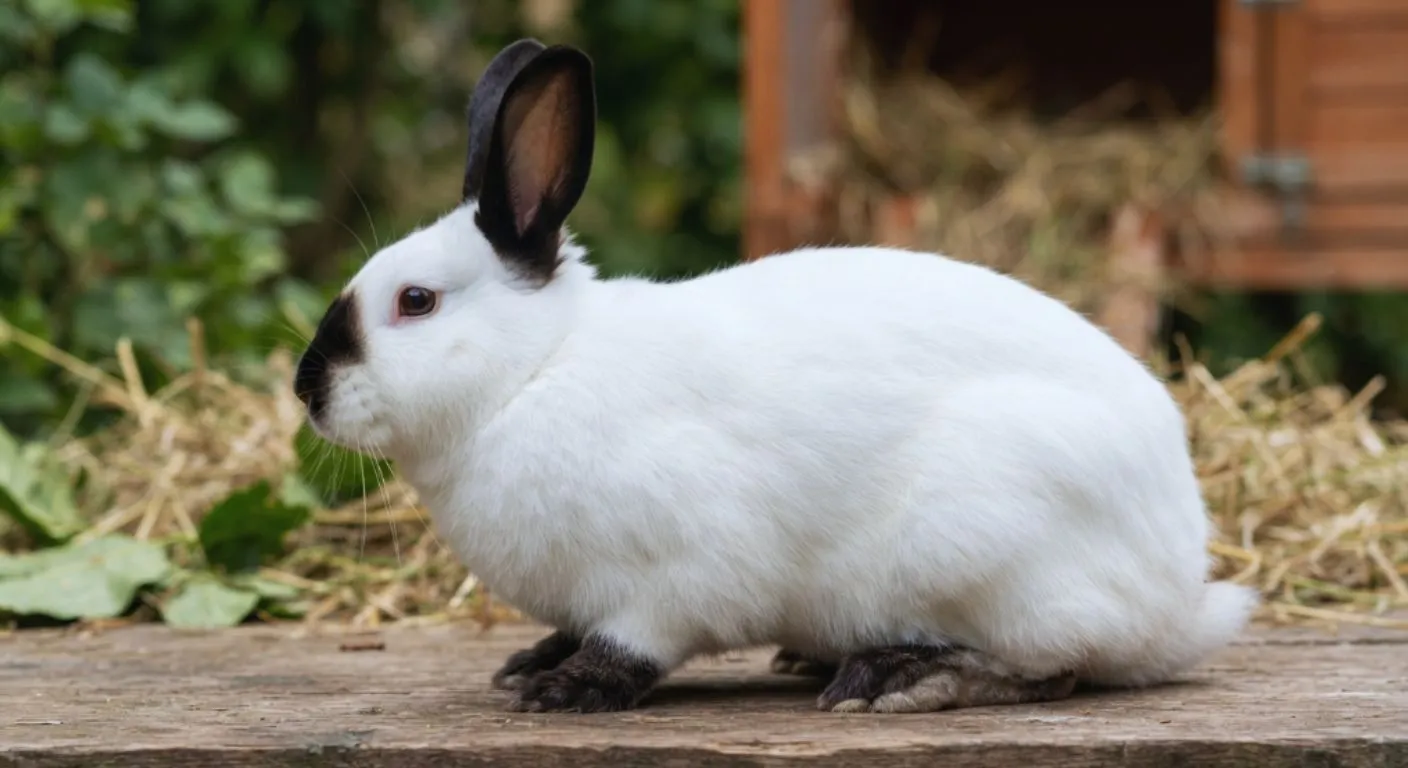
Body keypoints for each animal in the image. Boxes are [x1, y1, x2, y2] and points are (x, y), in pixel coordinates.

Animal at [293, 38, 1260, 714]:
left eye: (416, 302)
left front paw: (564, 687)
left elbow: (639, 640)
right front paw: (533, 659)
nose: (307, 390)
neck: (533, 371)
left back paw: (898, 677)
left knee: (1051, 667)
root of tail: (1176, 587)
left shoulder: (672, 574)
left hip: (986, 548)